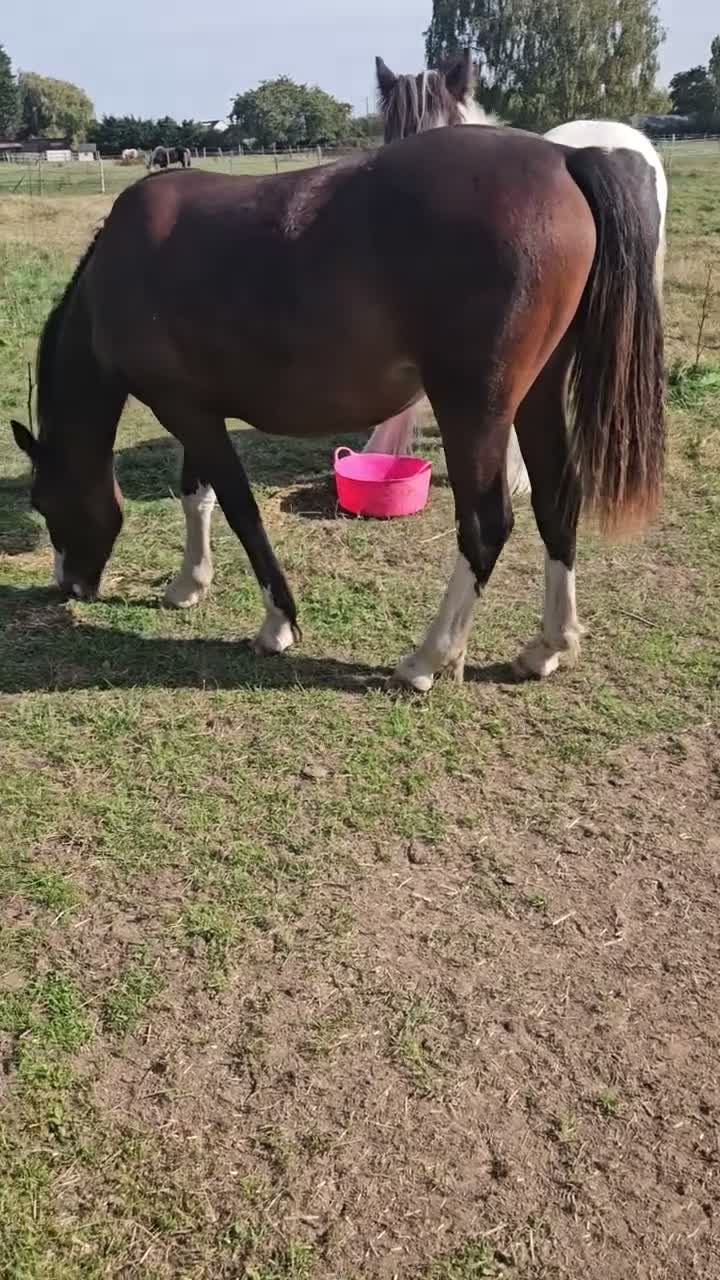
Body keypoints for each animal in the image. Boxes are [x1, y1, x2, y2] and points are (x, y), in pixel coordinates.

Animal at [10, 124, 664, 692]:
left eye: (43, 502)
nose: (69, 586)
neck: (118, 270)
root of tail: (565, 160)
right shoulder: (194, 408)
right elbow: (199, 496)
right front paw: (188, 584)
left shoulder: (186, 411)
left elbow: (242, 511)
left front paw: (277, 624)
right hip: (537, 394)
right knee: (557, 501)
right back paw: (548, 647)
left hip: (473, 405)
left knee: (485, 526)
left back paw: (427, 660)